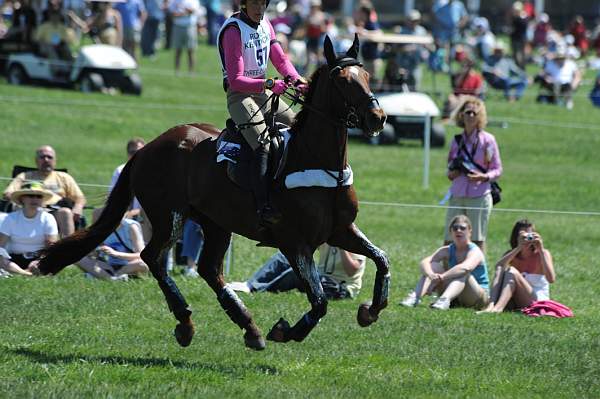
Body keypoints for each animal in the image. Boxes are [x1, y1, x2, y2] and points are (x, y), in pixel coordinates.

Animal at [37, 36, 392, 352]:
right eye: (343, 81)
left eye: (367, 77)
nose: (378, 118)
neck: (316, 160)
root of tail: (148, 148)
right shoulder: (294, 243)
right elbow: (319, 302)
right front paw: (285, 331)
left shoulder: (340, 231)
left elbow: (381, 259)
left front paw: (370, 311)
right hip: (169, 215)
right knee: (153, 258)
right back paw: (186, 322)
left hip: (215, 222)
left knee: (209, 269)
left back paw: (249, 328)